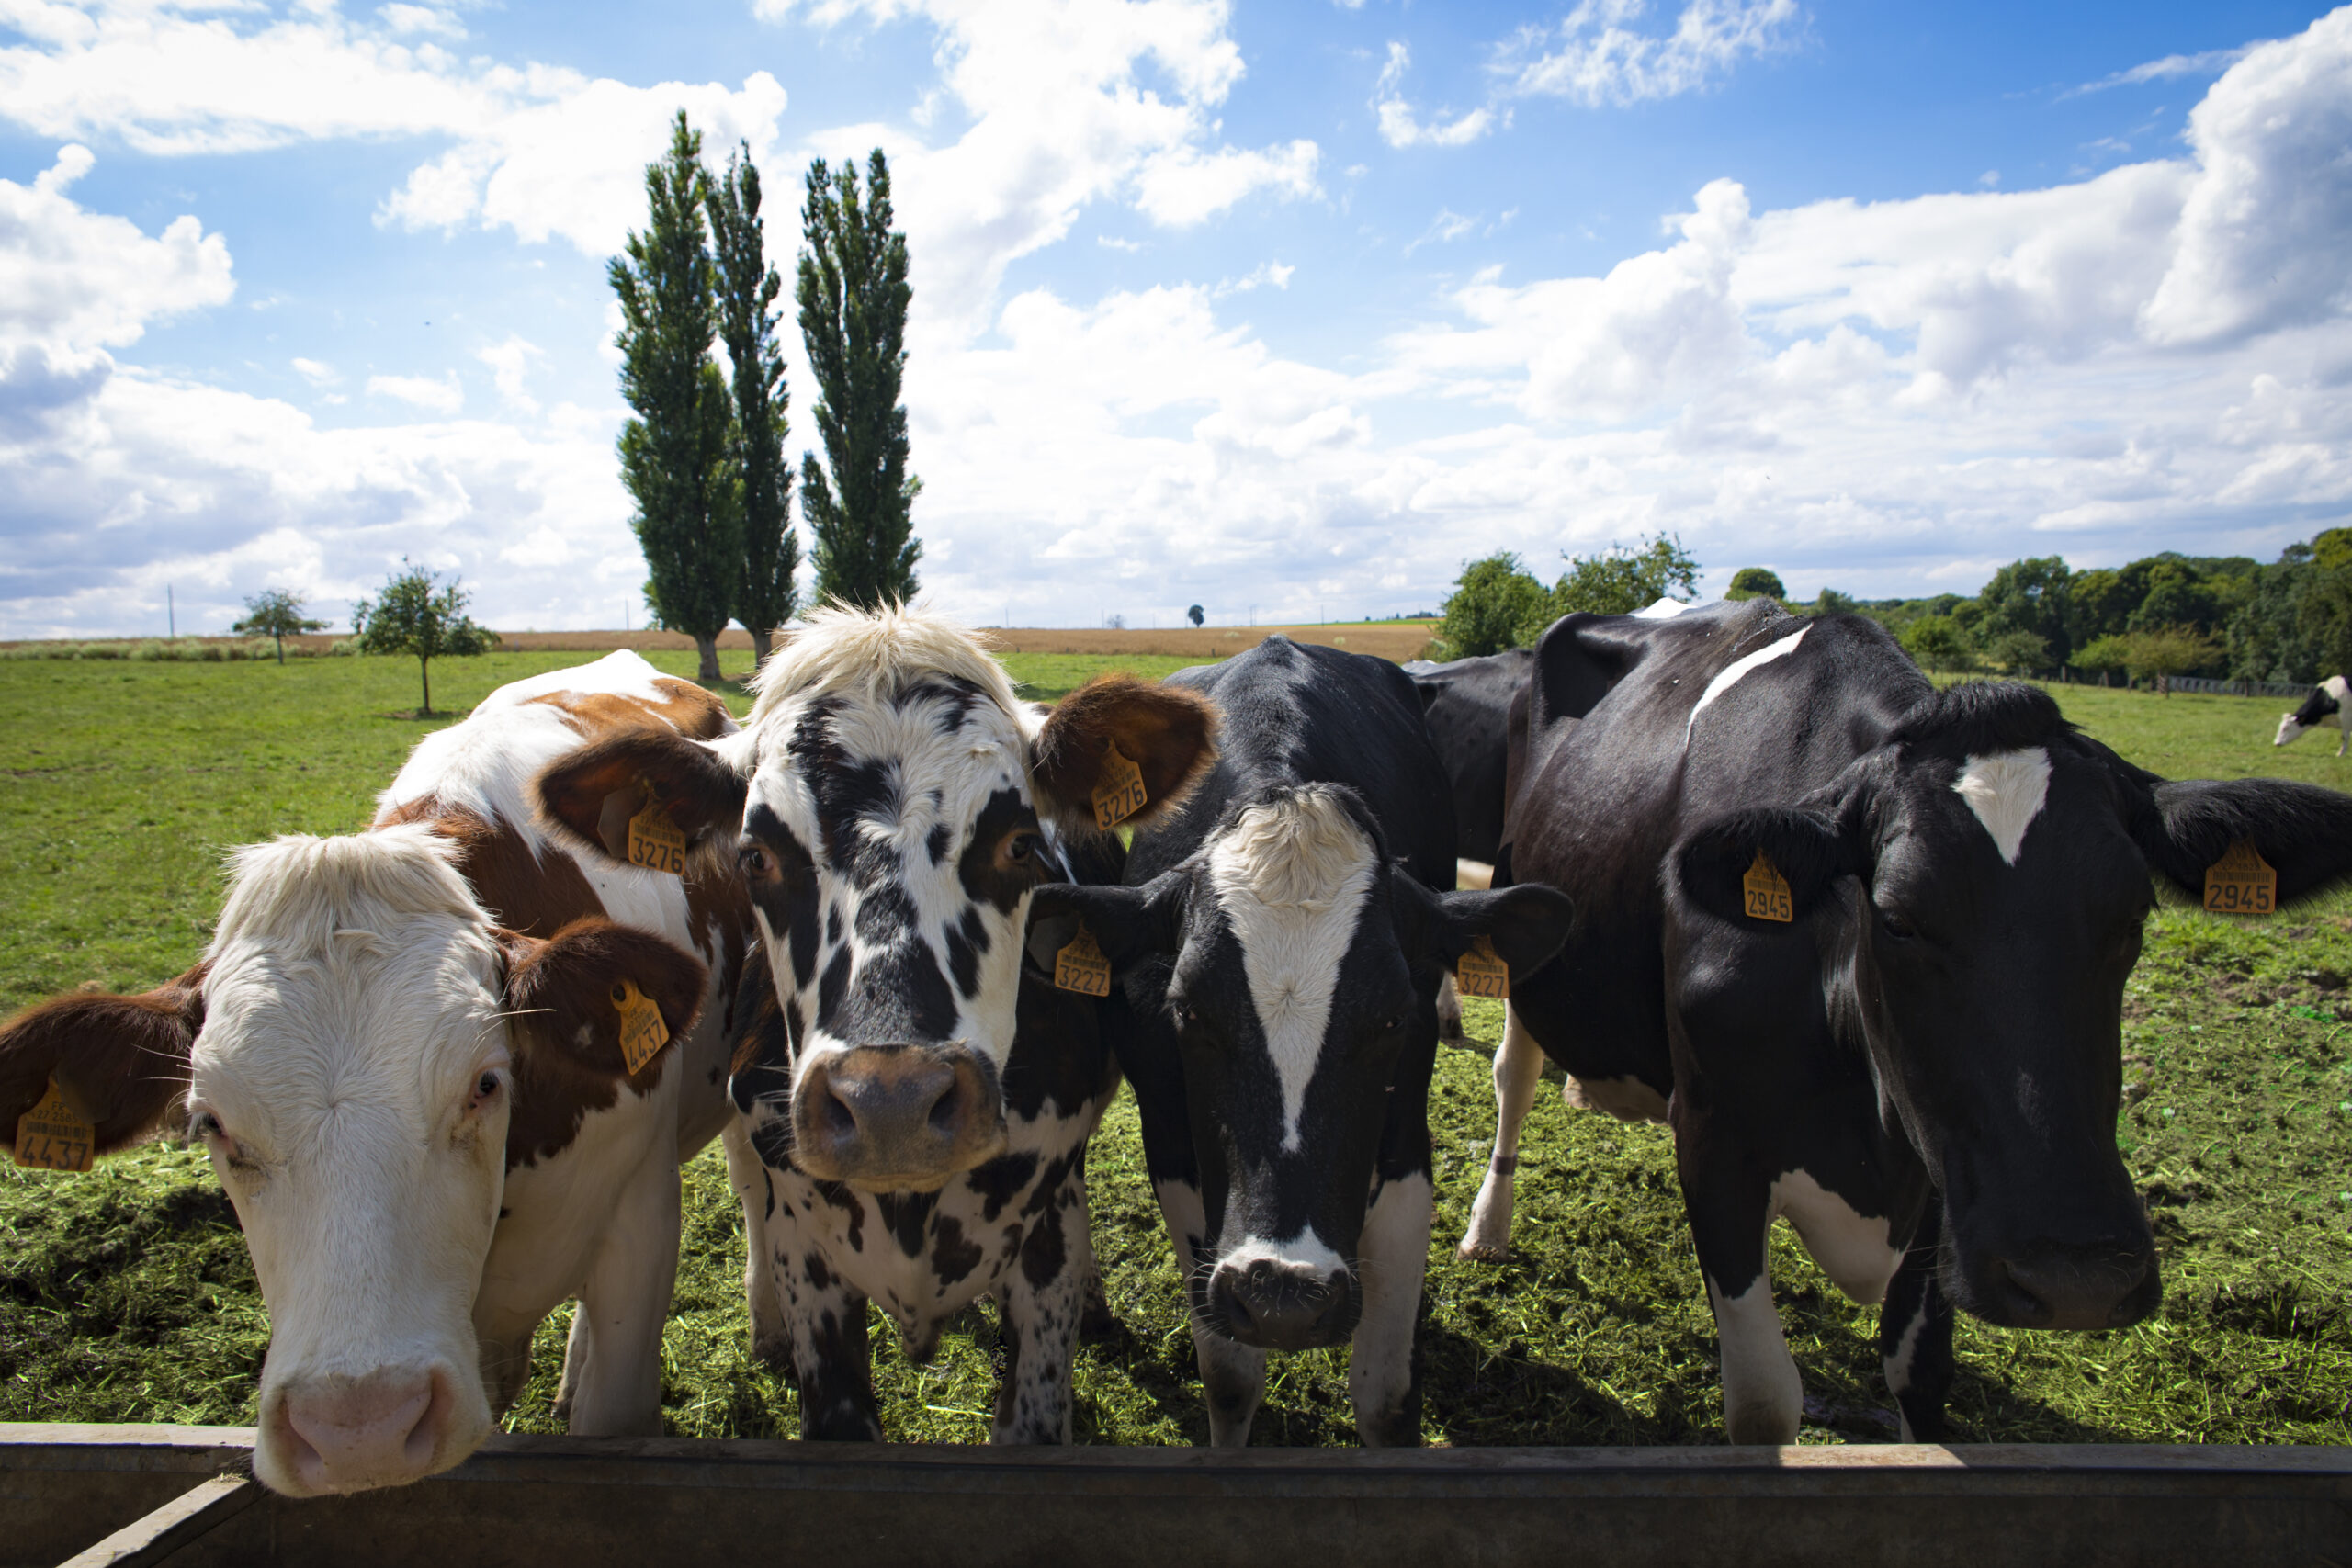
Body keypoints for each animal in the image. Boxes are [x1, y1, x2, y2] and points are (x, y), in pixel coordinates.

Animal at [1031, 636, 1573, 1446]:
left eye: (1393, 1018)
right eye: (1187, 1011)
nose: (1283, 1295)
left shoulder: (1405, 1143)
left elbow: (1384, 1398)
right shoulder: (1176, 1148)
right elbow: (1229, 1379)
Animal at [1472, 599, 2352, 1444]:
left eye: (2134, 915)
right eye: (1896, 917)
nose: (2077, 1276)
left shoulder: (1942, 1170)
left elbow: (1920, 1379)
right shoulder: (1717, 1144)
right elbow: (1763, 1402)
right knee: (1515, 1075)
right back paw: (1488, 1225)